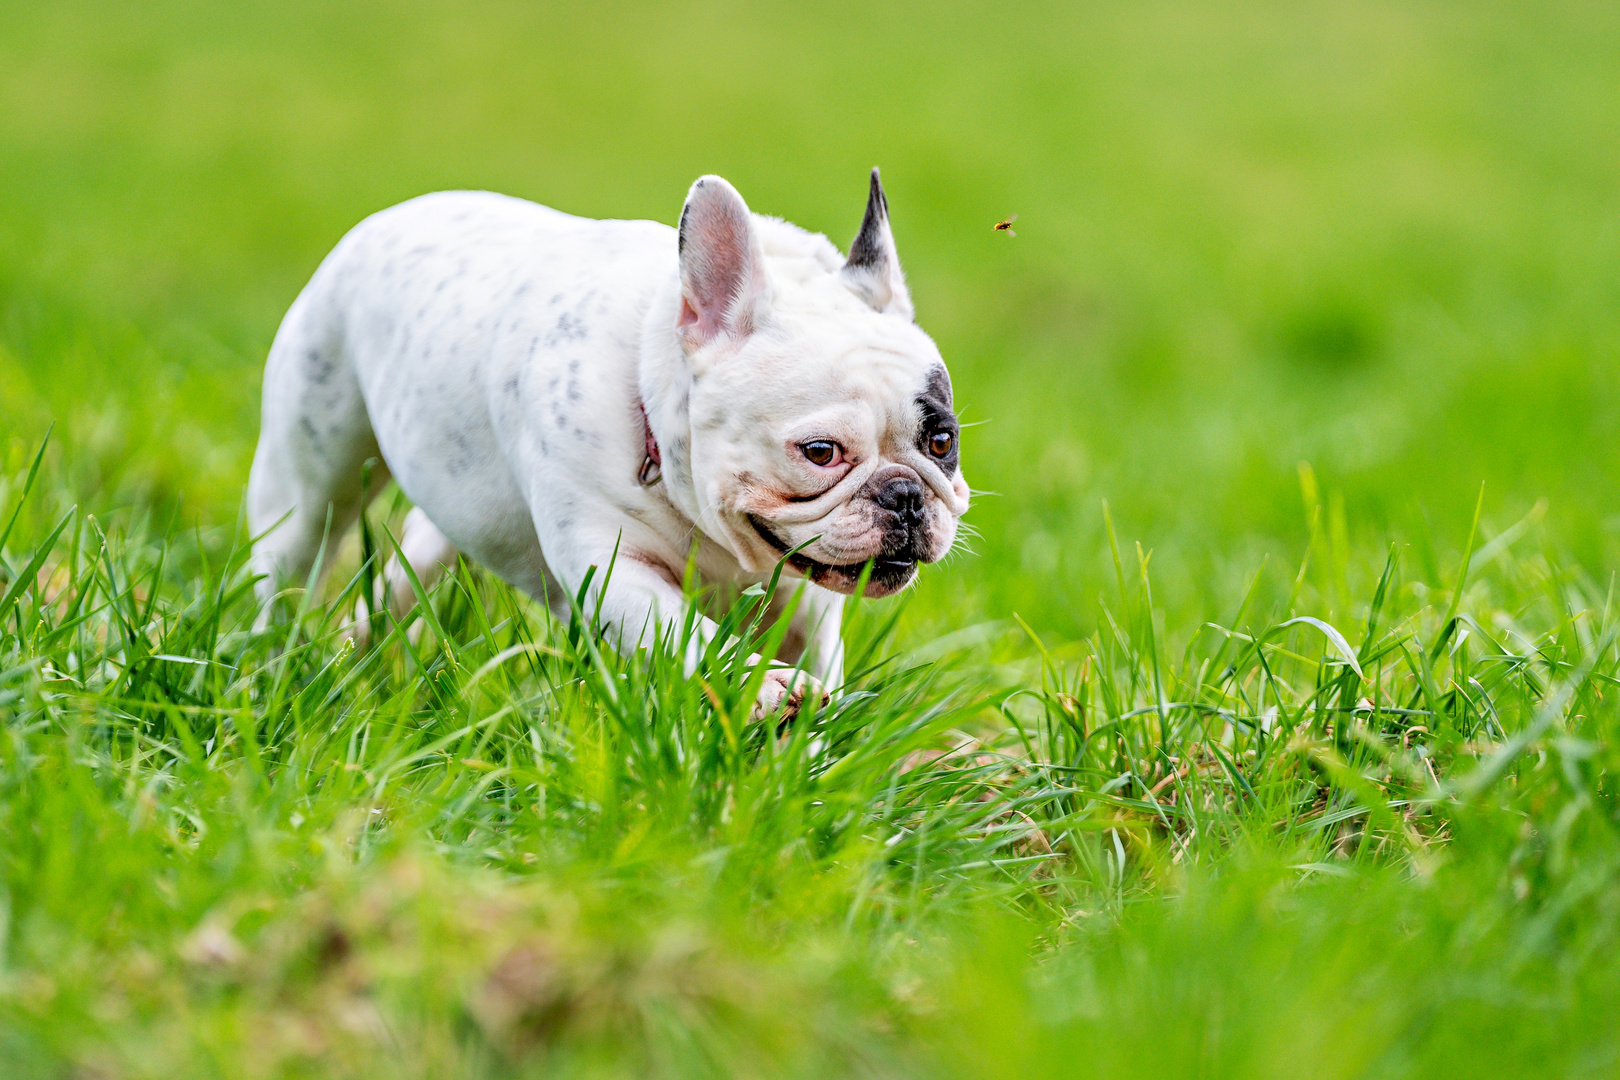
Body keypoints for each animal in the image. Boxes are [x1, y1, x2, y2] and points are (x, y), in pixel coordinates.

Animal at [246, 170, 965, 718]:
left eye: (941, 442)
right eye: (819, 453)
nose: (904, 496)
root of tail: (395, 214)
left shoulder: (804, 598)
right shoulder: (613, 569)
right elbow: (685, 631)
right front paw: (764, 684)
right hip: (308, 483)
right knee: (287, 569)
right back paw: (268, 668)